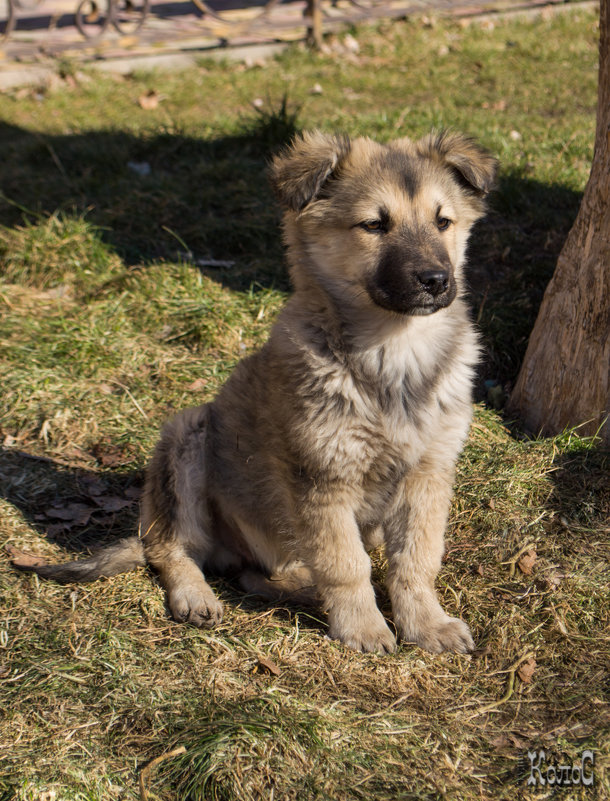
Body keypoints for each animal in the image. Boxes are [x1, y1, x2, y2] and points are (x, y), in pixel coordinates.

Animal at [22, 131, 494, 652]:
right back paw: (197, 596)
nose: (436, 280)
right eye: (374, 224)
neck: (395, 349)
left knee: (254, 574)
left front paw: (426, 624)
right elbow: (346, 564)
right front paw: (363, 627)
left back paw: (300, 588)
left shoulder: (428, 473)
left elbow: (416, 559)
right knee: (171, 548)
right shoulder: (322, 478)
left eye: (443, 222)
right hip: (186, 442)